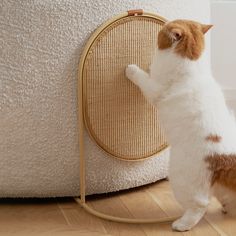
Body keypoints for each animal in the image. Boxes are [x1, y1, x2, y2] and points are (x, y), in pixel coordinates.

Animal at [125, 19, 236, 231]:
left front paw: (131, 69)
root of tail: (224, 159)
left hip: (181, 180)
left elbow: (142, 77)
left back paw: (182, 224)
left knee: (200, 205)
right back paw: (227, 209)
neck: (191, 63)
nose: (163, 26)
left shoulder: (155, 88)